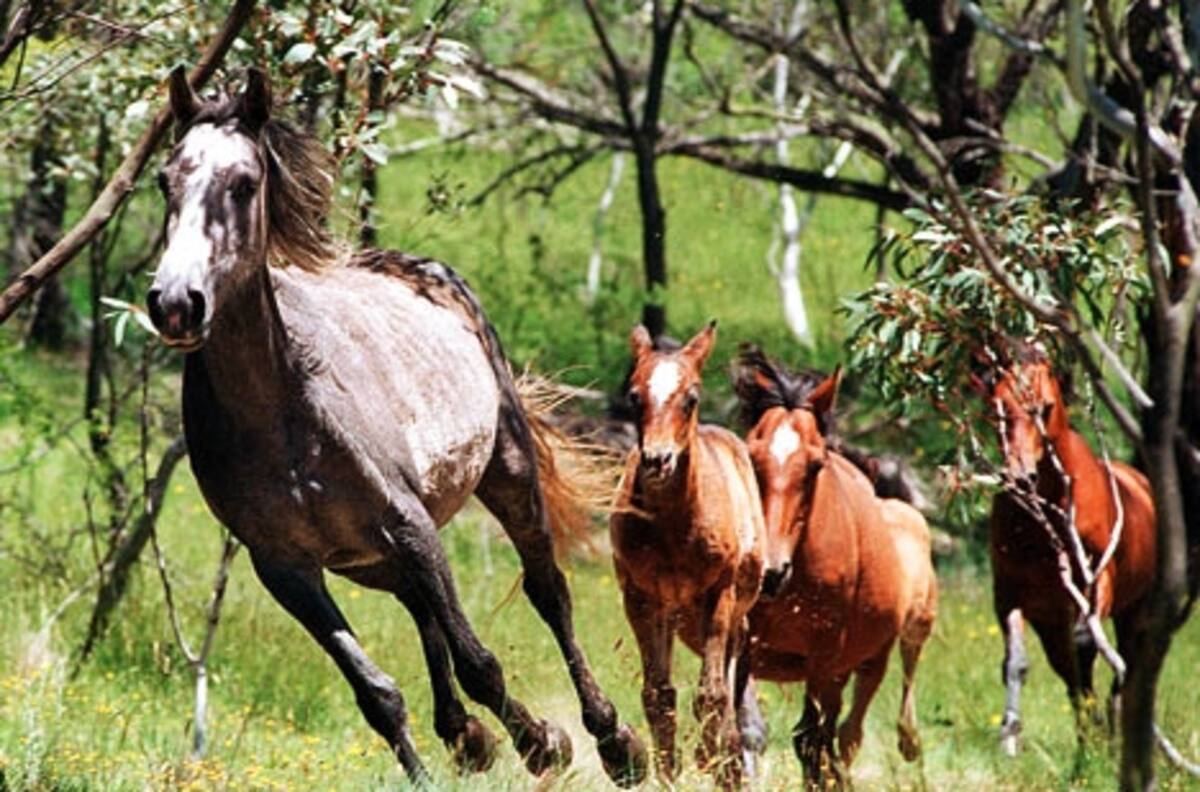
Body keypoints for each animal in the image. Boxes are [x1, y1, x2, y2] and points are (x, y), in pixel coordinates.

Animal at [145, 66, 647, 787]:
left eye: (241, 183)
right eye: (166, 180)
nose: (176, 304)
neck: (284, 413)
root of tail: (429, 271)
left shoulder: (407, 526)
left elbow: (479, 662)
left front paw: (544, 744)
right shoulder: (287, 568)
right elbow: (377, 693)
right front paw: (470, 748)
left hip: (505, 476)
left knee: (547, 593)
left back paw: (613, 741)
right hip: (372, 561)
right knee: (422, 612)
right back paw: (466, 736)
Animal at [610, 322, 766, 788]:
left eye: (691, 397)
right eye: (633, 395)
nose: (657, 460)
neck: (673, 528)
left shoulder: (719, 594)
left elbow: (712, 694)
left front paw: (712, 757)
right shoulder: (641, 597)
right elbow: (658, 694)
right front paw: (668, 774)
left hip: (730, 609)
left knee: (727, 679)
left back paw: (726, 756)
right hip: (676, 612)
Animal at [733, 354, 937, 786]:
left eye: (814, 466)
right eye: (752, 456)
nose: (771, 572)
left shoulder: (825, 654)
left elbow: (812, 740)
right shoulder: (743, 638)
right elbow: (746, 727)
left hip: (883, 649)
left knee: (852, 729)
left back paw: (905, 741)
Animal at [980, 349, 1156, 755]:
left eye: (1045, 407)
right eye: (998, 409)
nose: (1020, 477)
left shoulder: (1098, 578)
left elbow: (1086, 647)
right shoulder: (1009, 593)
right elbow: (1015, 663)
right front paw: (1009, 735)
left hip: (1134, 612)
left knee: (1121, 663)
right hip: (1050, 621)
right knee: (1072, 673)